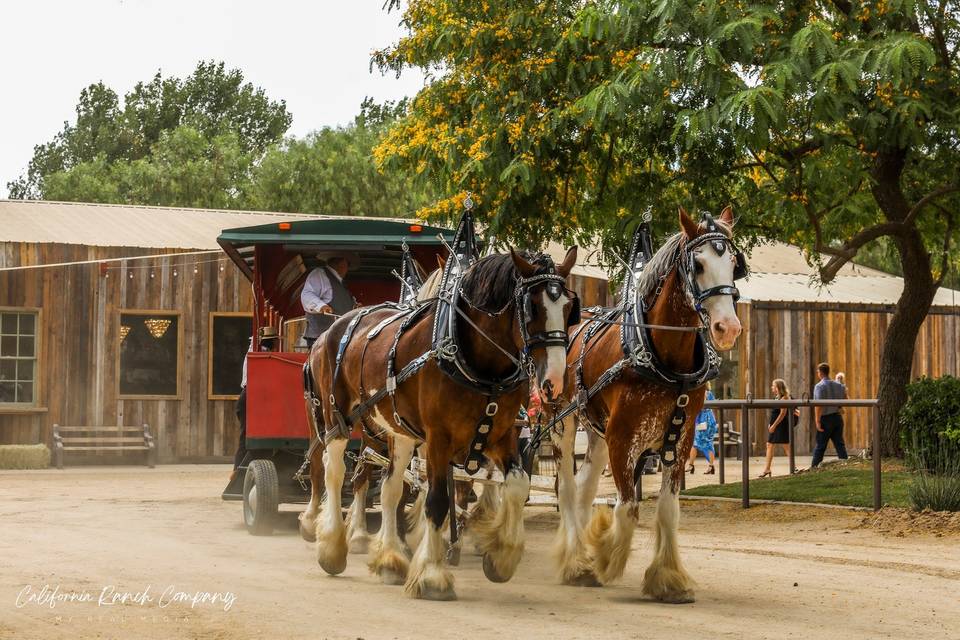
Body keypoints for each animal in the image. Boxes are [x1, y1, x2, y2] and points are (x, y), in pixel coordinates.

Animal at [310, 246, 576, 600]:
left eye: (569, 308)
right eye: (531, 307)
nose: (554, 382)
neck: (476, 361)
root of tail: (336, 326)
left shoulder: (502, 434)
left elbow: (517, 486)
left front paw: (501, 556)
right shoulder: (438, 438)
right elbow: (437, 500)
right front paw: (433, 575)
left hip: (400, 430)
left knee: (391, 488)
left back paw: (390, 559)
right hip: (337, 419)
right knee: (336, 472)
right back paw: (333, 546)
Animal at [556, 208, 744, 604]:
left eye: (735, 264)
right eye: (698, 264)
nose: (728, 328)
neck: (663, 356)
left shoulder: (680, 439)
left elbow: (668, 510)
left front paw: (668, 579)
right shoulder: (623, 439)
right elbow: (627, 508)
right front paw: (606, 558)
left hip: (596, 431)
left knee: (583, 487)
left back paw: (580, 554)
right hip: (560, 421)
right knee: (566, 488)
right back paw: (574, 561)